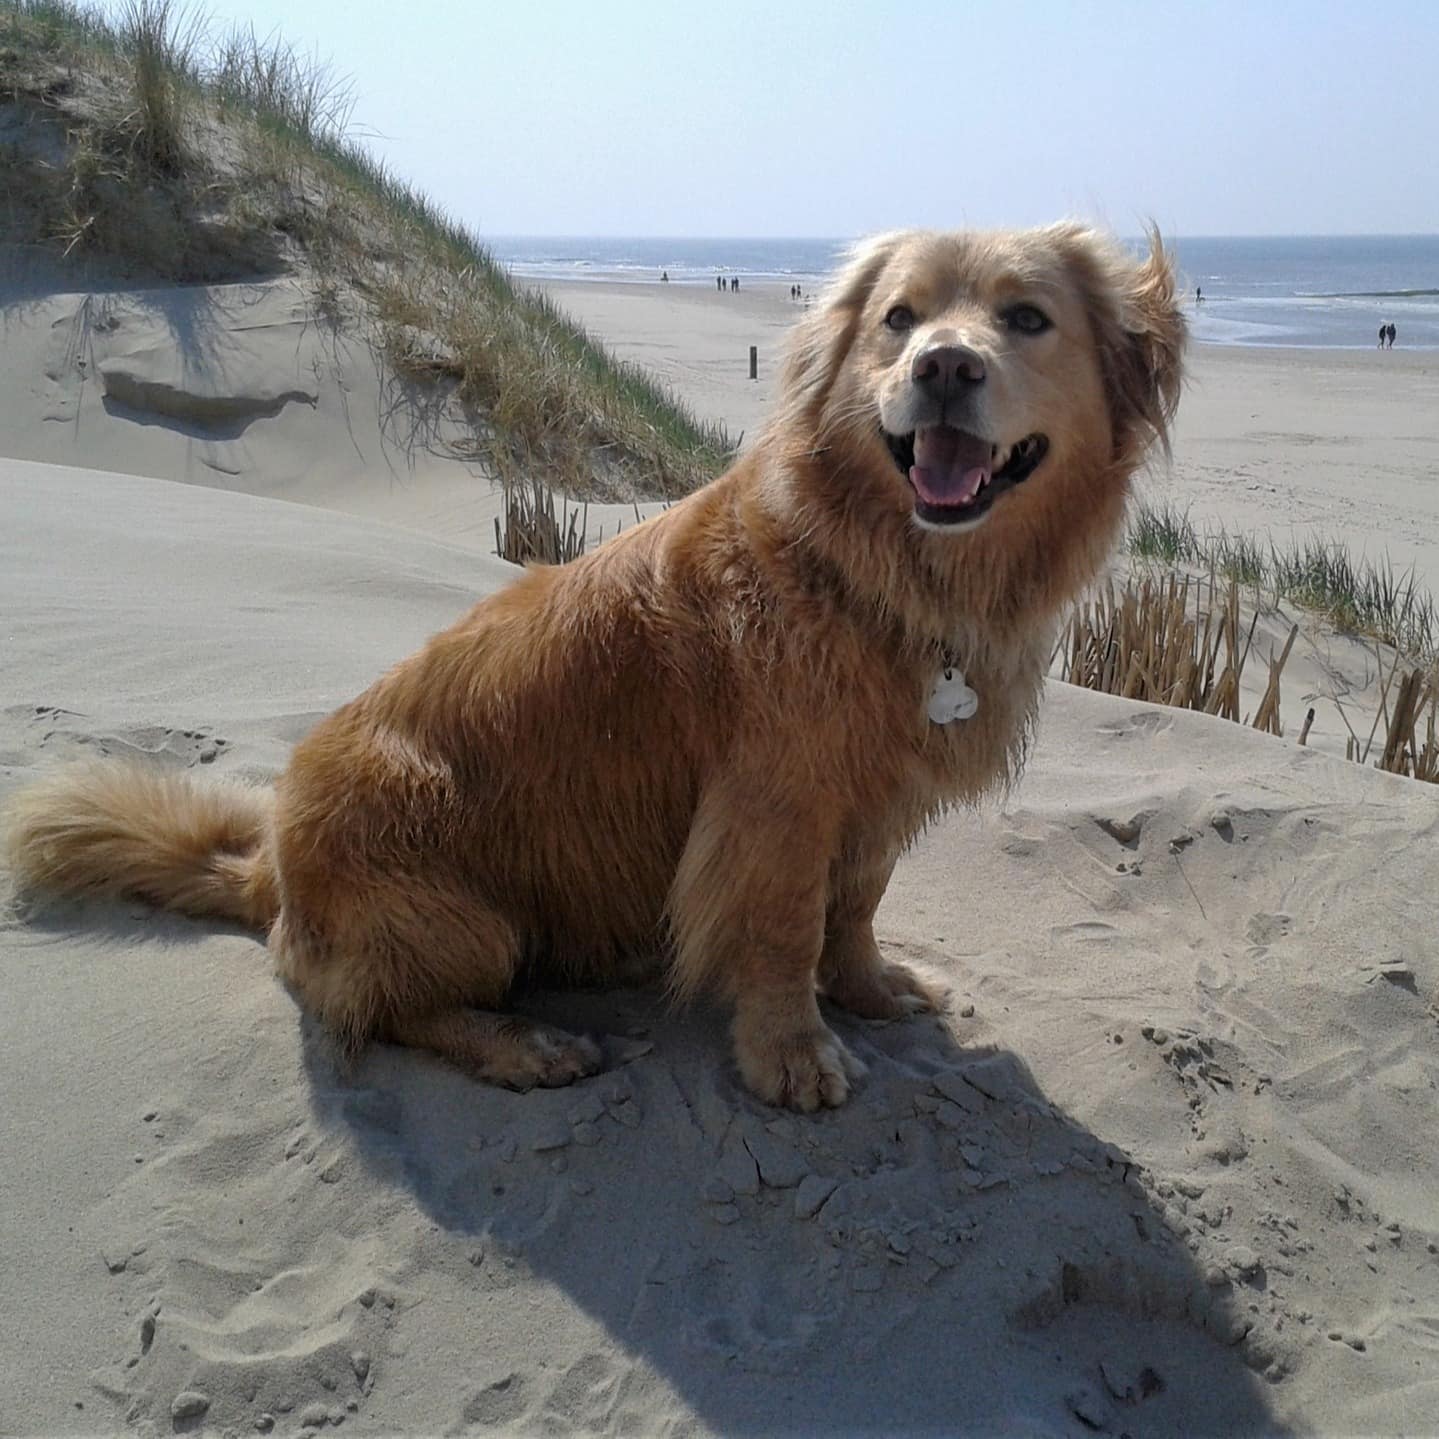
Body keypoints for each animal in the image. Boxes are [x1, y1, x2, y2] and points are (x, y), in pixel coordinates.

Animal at [2, 227, 1179, 1110]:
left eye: (1025, 318)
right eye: (897, 318)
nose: (942, 367)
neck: (874, 571)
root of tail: (269, 872)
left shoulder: (875, 799)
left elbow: (853, 908)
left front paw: (872, 987)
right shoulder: (774, 806)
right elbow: (784, 928)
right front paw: (791, 1052)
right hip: (465, 917)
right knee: (385, 1006)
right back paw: (526, 1044)